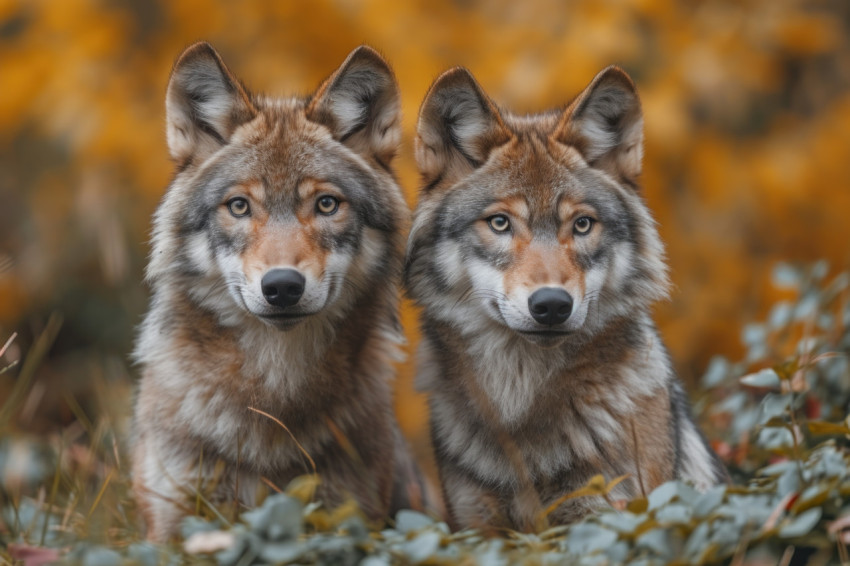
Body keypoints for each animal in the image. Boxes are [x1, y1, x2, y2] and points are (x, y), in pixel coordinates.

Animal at [131, 43, 420, 540]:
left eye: (326, 204)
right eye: (239, 206)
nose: (282, 286)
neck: (274, 391)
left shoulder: (347, 519)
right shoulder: (170, 526)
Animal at [404, 65, 724, 532]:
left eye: (582, 224)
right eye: (500, 223)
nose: (552, 305)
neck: (522, 408)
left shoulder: (607, 517)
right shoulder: (478, 527)